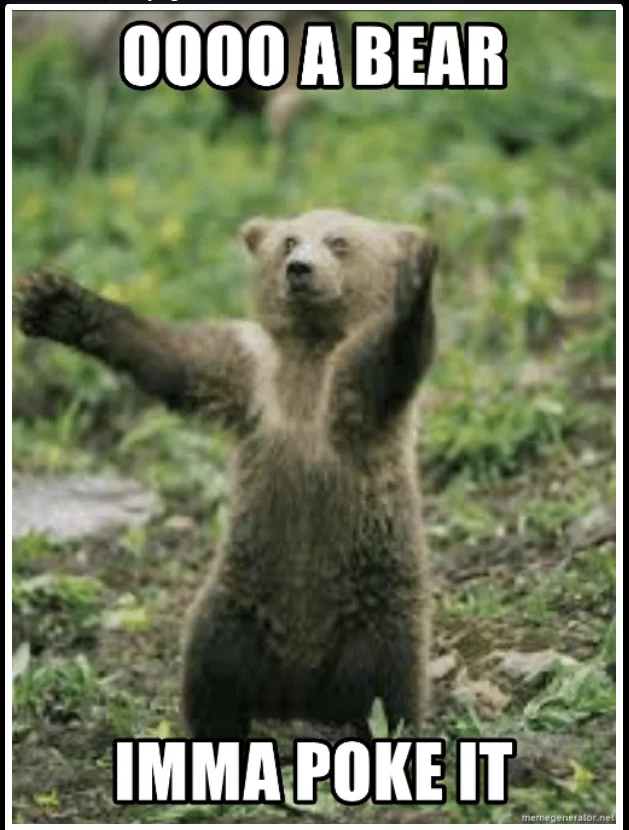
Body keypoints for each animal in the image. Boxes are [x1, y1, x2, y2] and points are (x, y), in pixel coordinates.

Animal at [13, 208, 438, 742]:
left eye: (340, 242)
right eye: (289, 240)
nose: (299, 270)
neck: (310, 352)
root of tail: (301, 693)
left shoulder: (350, 398)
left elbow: (388, 364)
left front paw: (416, 291)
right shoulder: (250, 372)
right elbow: (175, 359)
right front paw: (54, 302)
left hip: (375, 612)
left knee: (390, 693)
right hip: (239, 606)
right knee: (211, 673)